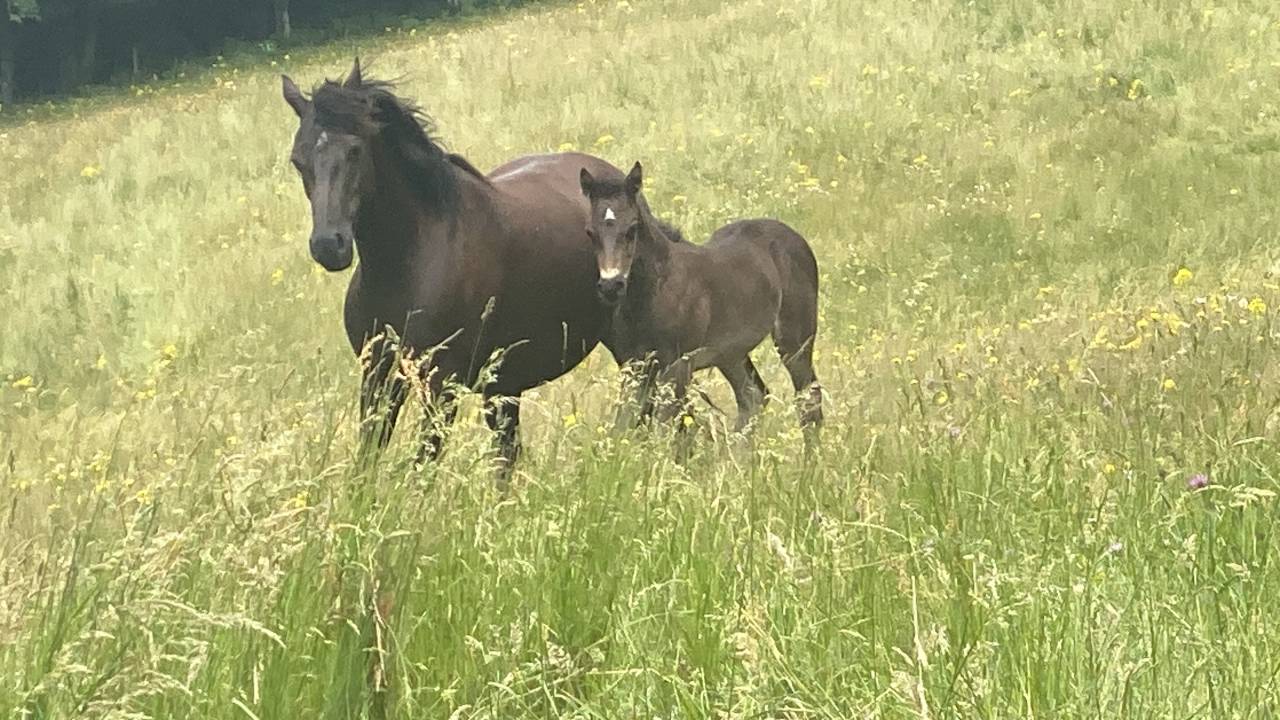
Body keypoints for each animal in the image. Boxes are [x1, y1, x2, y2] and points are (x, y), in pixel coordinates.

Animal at [281, 59, 629, 483]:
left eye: (355, 149)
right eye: (298, 160)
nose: (329, 246)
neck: (406, 266)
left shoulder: (439, 385)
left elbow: (422, 468)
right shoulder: (378, 376)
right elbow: (368, 458)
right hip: (502, 384)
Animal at [579, 161, 824, 439]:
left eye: (632, 229)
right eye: (590, 232)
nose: (611, 285)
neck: (654, 290)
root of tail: (793, 236)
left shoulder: (677, 366)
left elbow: (668, 425)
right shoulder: (635, 366)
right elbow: (625, 424)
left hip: (795, 339)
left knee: (808, 397)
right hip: (730, 352)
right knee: (753, 396)